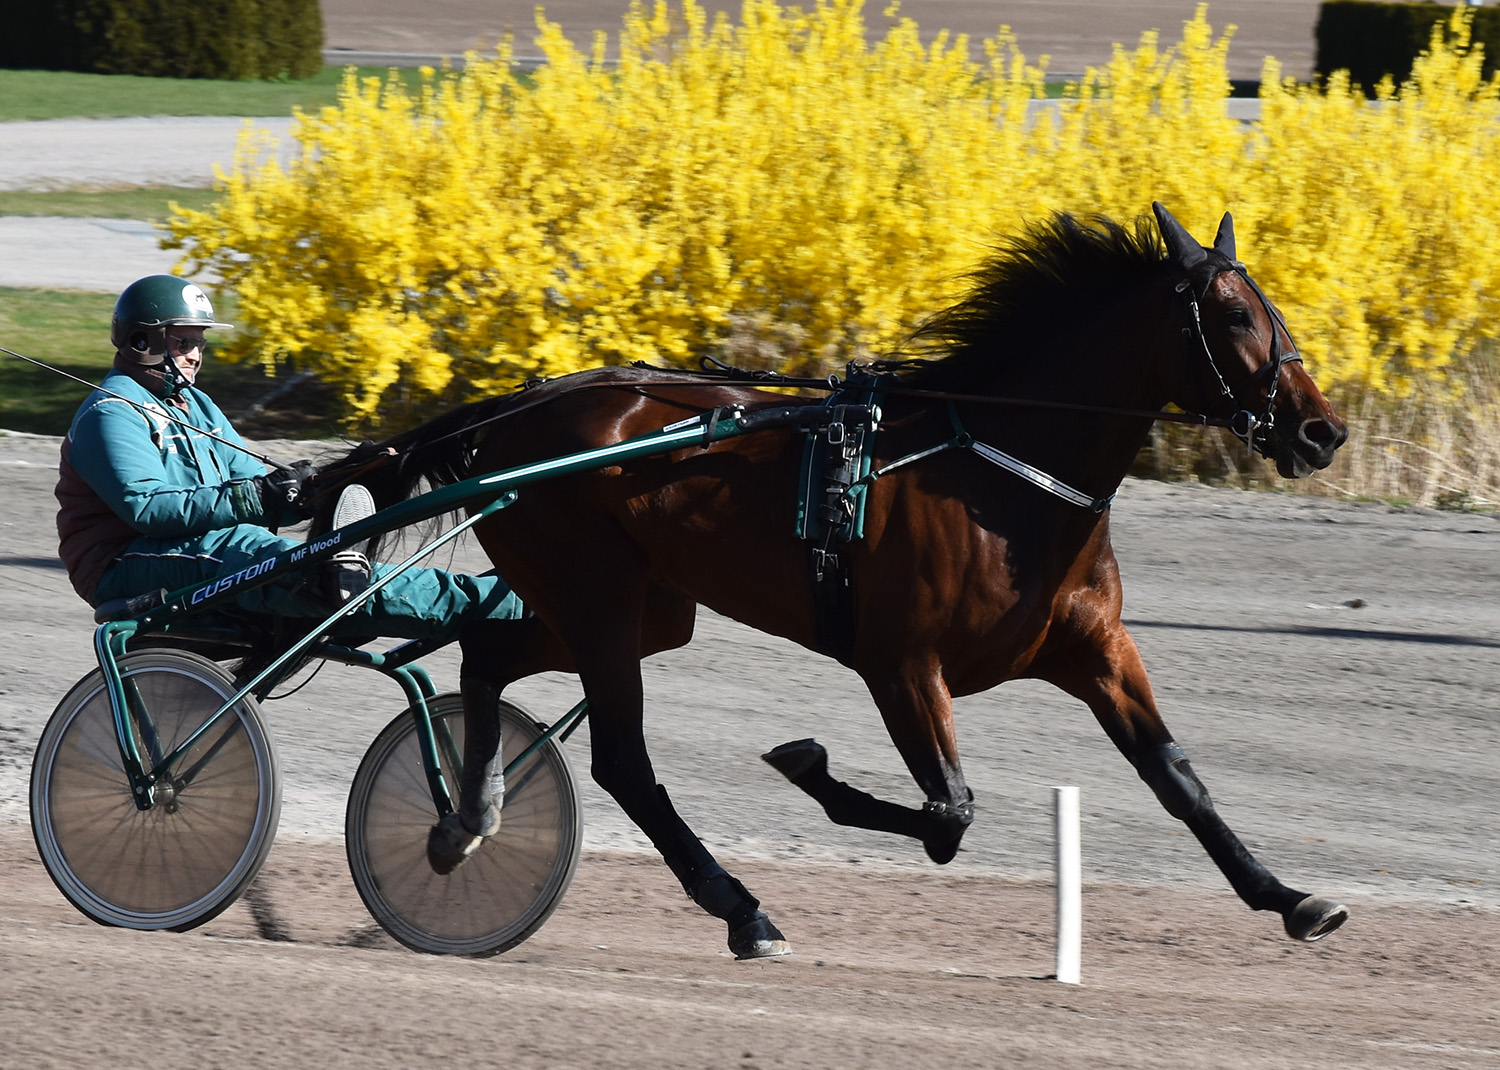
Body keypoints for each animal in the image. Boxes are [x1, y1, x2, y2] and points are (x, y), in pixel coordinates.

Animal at [313, 204, 1350, 954]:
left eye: (1275, 308)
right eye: (1234, 316)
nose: (1321, 430)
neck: (999, 472)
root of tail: (519, 411)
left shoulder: (1093, 649)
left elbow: (1178, 779)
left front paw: (1292, 898)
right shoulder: (901, 661)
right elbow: (948, 813)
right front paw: (805, 762)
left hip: (639, 607)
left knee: (487, 654)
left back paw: (464, 818)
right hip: (596, 597)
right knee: (623, 762)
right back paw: (739, 909)